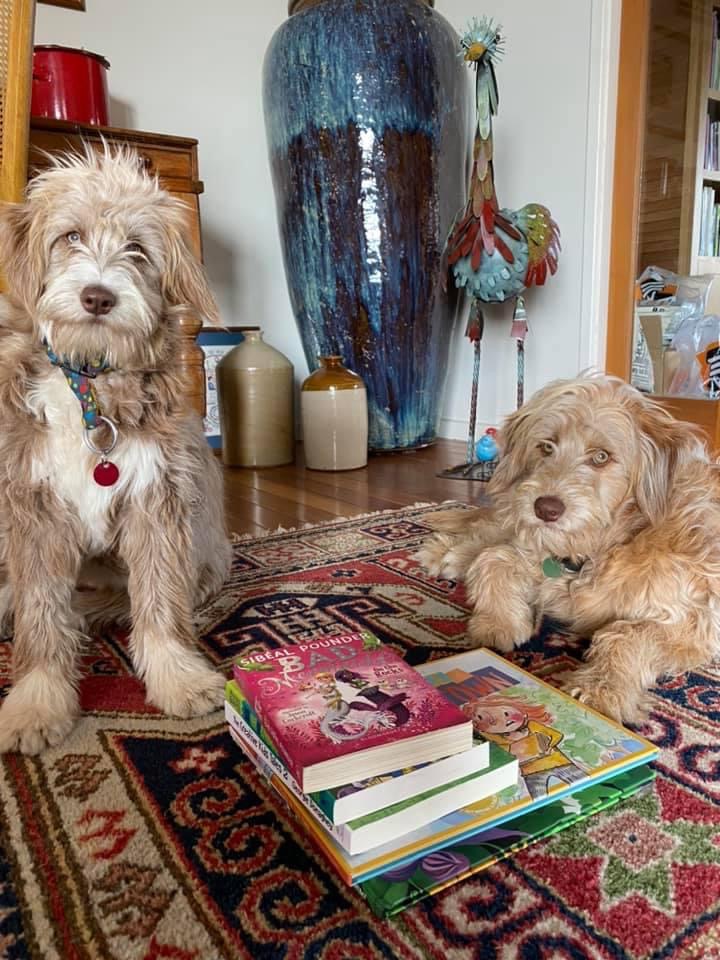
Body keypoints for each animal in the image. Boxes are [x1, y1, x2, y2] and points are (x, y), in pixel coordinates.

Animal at [0, 147, 231, 753]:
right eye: (70, 237)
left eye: (138, 249)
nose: (98, 296)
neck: (88, 379)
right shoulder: (33, 506)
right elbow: (41, 609)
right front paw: (36, 700)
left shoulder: (157, 498)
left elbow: (159, 600)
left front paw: (177, 678)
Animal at [418, 374, 720, 724]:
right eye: (546, 446)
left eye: (601, 456)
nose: (545, 508)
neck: (603, 546)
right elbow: (493, 557)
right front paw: (497, 623)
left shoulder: (695, 624)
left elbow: (625, 634)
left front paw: (602, 690)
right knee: (491, 528)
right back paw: (445, 553)